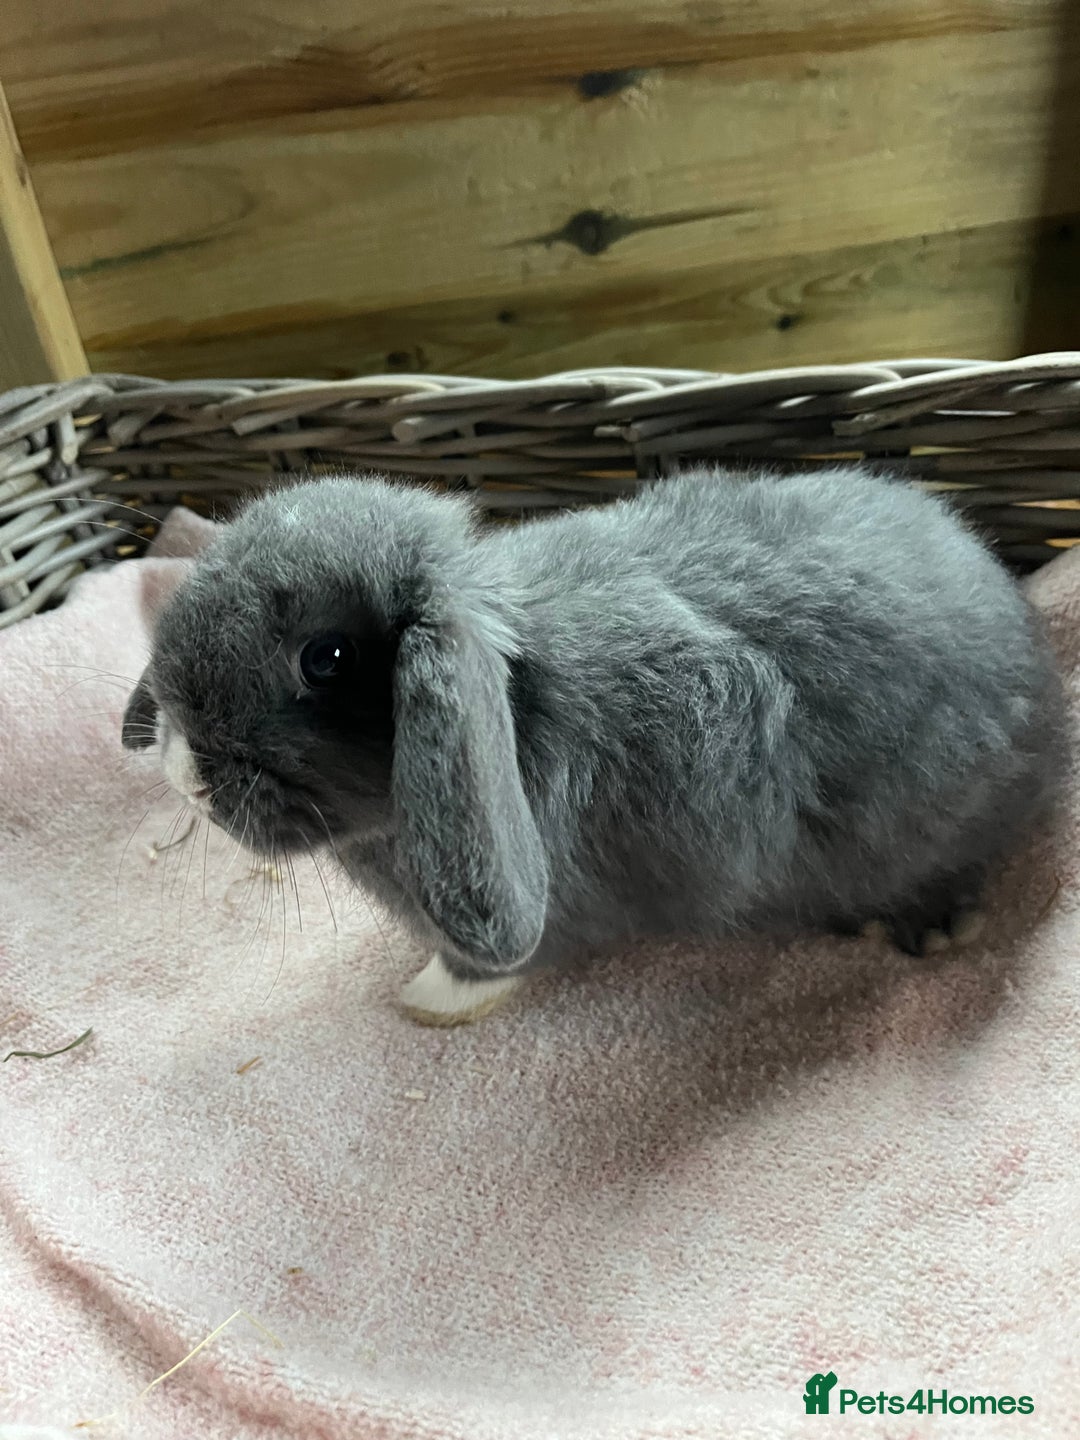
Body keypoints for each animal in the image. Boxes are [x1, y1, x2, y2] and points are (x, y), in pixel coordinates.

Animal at [122, 466, 1065, 1025]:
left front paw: (421, 1003)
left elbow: (481, 967)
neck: (512, 698)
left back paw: (932, 927)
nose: (181, 769)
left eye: (326, 659)